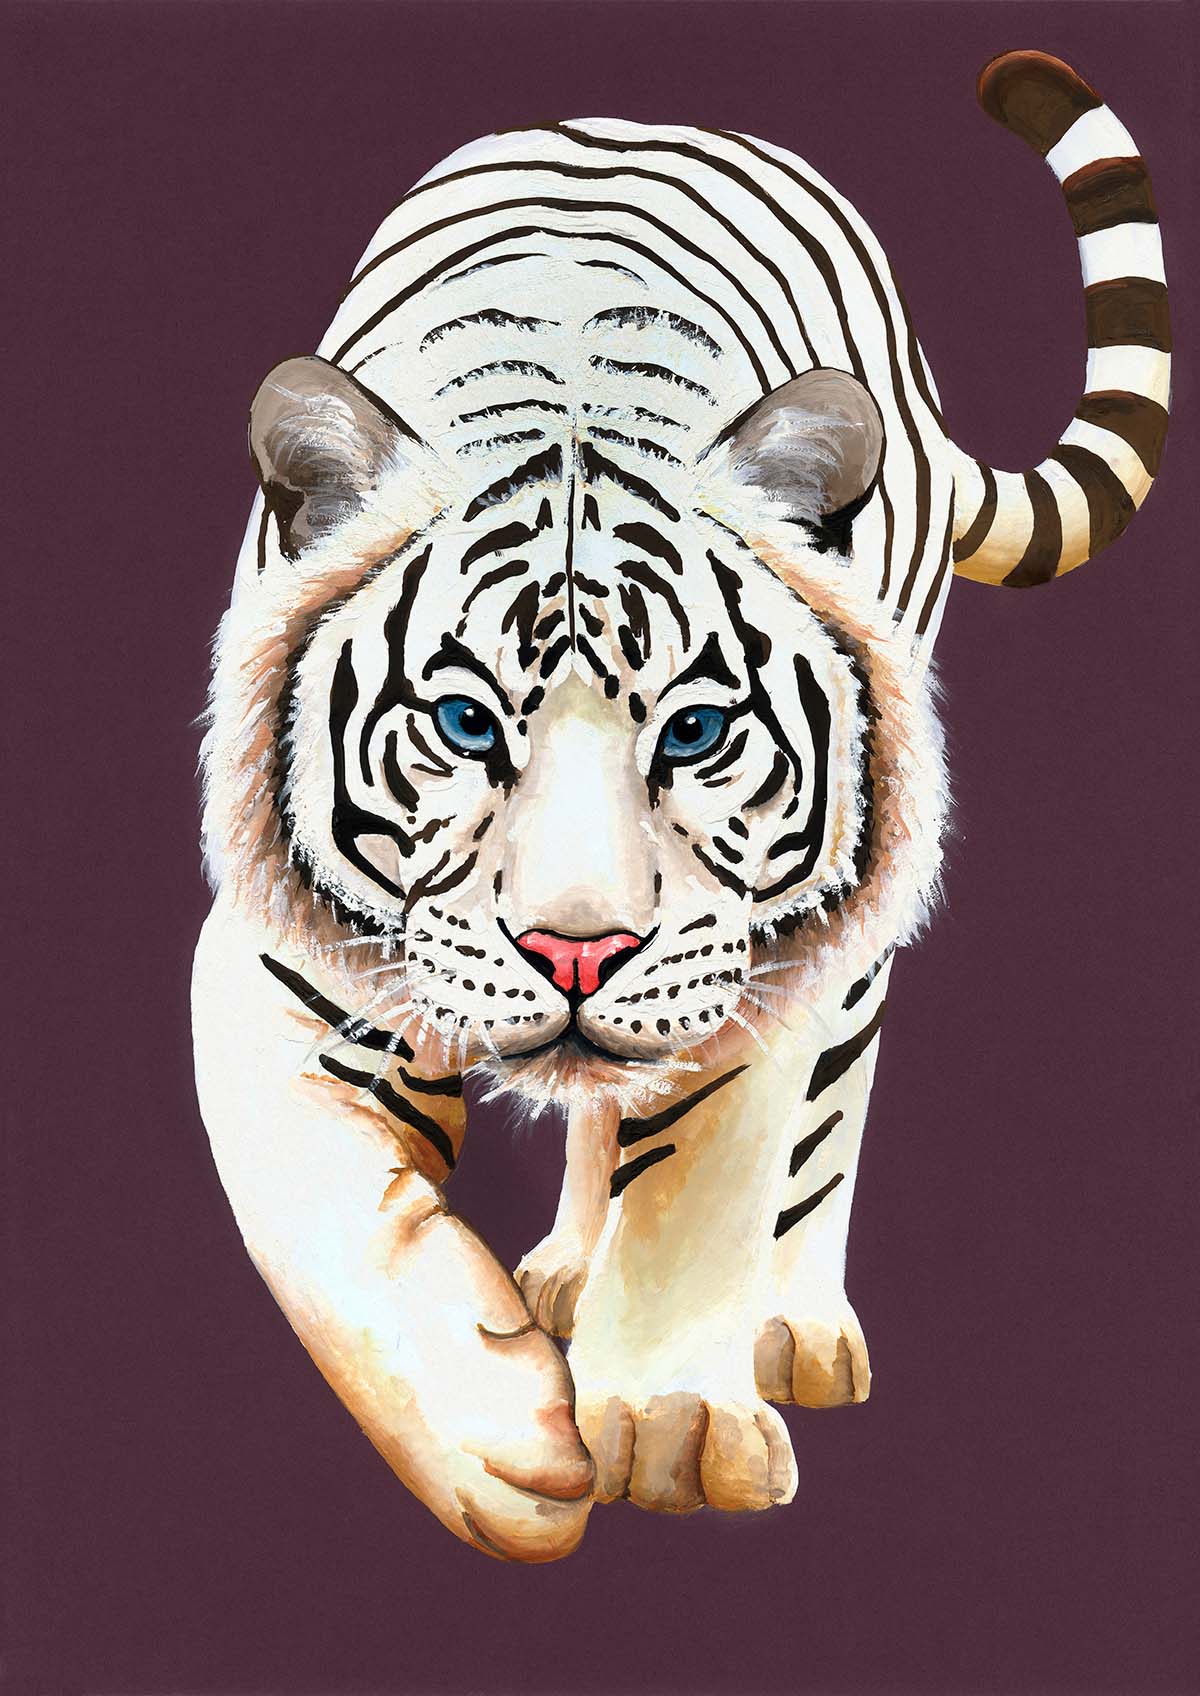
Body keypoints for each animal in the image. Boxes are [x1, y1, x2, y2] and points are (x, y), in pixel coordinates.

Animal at [192, 50, 1170, 1562]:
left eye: (698, 731)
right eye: (465, 722)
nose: (576, 952)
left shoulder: (761, 954)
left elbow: (710, 1181)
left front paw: (672, 1428)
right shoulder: (269, 963)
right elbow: (314, 1203)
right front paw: (503, 1441)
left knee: (823, 1100)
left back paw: (792, 1327)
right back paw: (557, 1269)